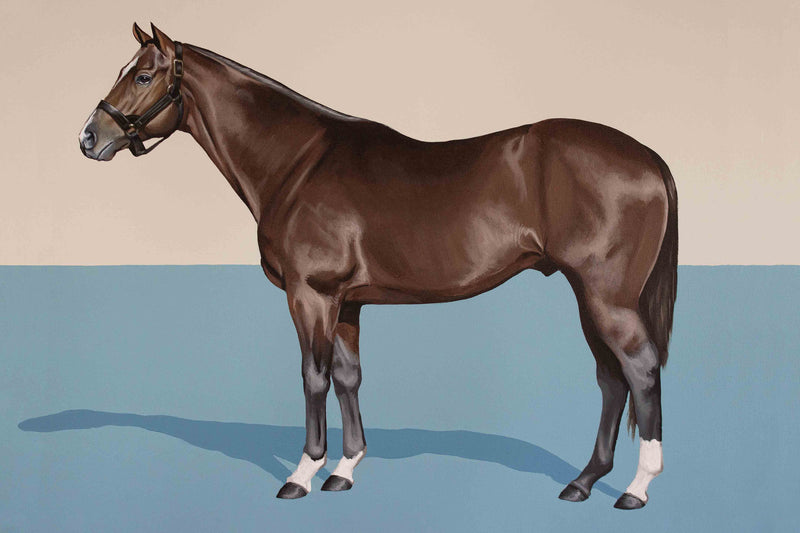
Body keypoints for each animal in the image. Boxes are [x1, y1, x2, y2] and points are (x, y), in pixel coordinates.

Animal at [79, 23, 677, 509]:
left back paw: (635, 488)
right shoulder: (347, 302)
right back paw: (583, 482)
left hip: (606, 296)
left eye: (144, 75)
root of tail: (648, 157)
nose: (89, 137)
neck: (298, 162)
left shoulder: (311, 294)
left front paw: (302, 474)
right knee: (611, 378)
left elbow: (314, 376)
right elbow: (349, 377)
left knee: (640, 368)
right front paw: (344, 470)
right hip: (585, 293)